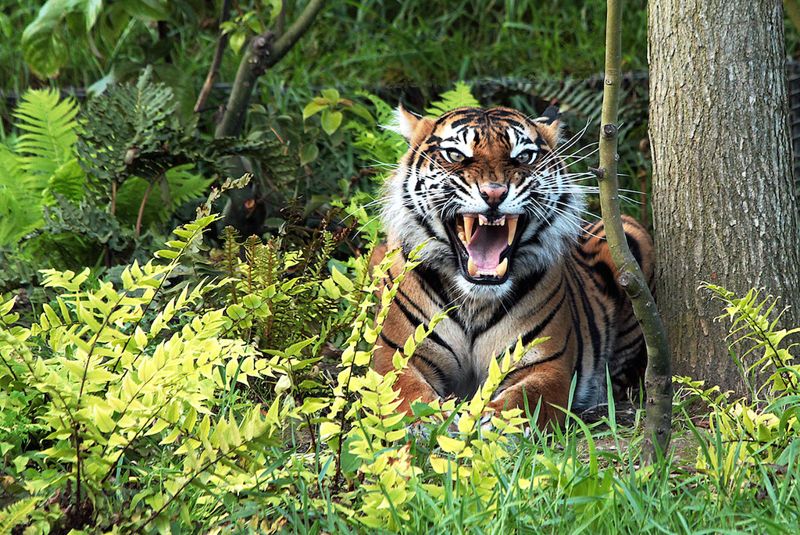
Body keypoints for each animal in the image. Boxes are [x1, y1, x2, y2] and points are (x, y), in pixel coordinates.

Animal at [372, 105, 654, 428]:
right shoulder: (396, 355)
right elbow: (403, 393)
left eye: (523, 157)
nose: (494, 193)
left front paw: (489, 423)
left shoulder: (545, 364)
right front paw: (430, 420)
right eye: (456, 154)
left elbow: (524, 399)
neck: (474, 301)